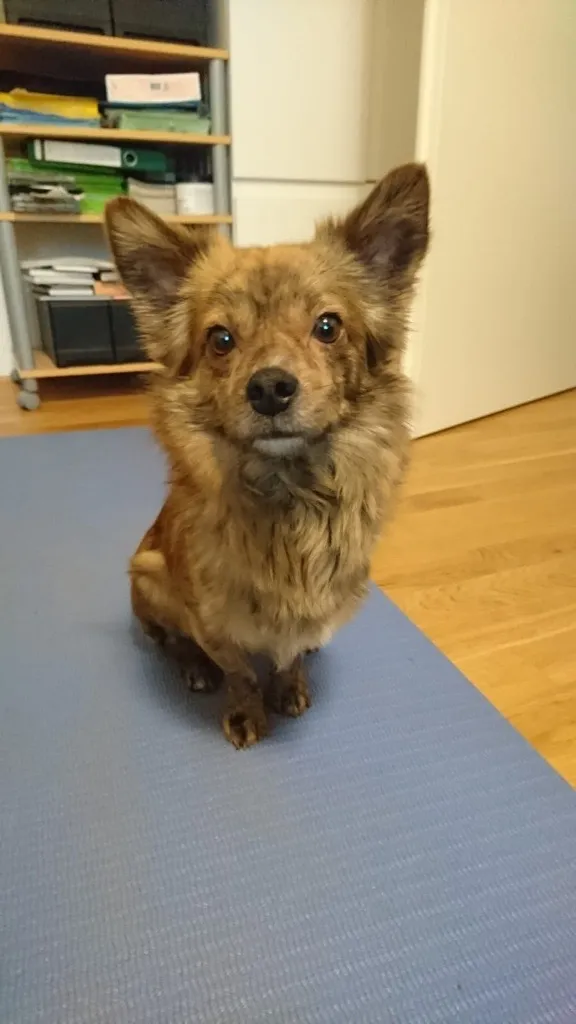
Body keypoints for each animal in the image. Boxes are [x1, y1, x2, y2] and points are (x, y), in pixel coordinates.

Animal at [105, 162, 429, 748]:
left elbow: (290, 656)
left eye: (327, 327)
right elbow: (239, 673)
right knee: (168, 638)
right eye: (220, 339)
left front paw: (290, 685)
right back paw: (192, 667)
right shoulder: (213, 620)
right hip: (148, 573)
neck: (292, 497)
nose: (270, 388)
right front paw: (246, 711)